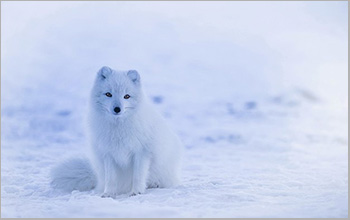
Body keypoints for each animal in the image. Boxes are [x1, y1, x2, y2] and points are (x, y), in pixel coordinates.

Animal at [52, 66, 183, 197]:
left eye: (127, 96)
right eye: (108, 94)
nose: (117, 109)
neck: (118, 128)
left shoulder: (141, 152)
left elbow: (138, 176)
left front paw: (136, 192)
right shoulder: (108, 153)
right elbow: (111, 178)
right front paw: (108, 194)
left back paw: (155, 184)